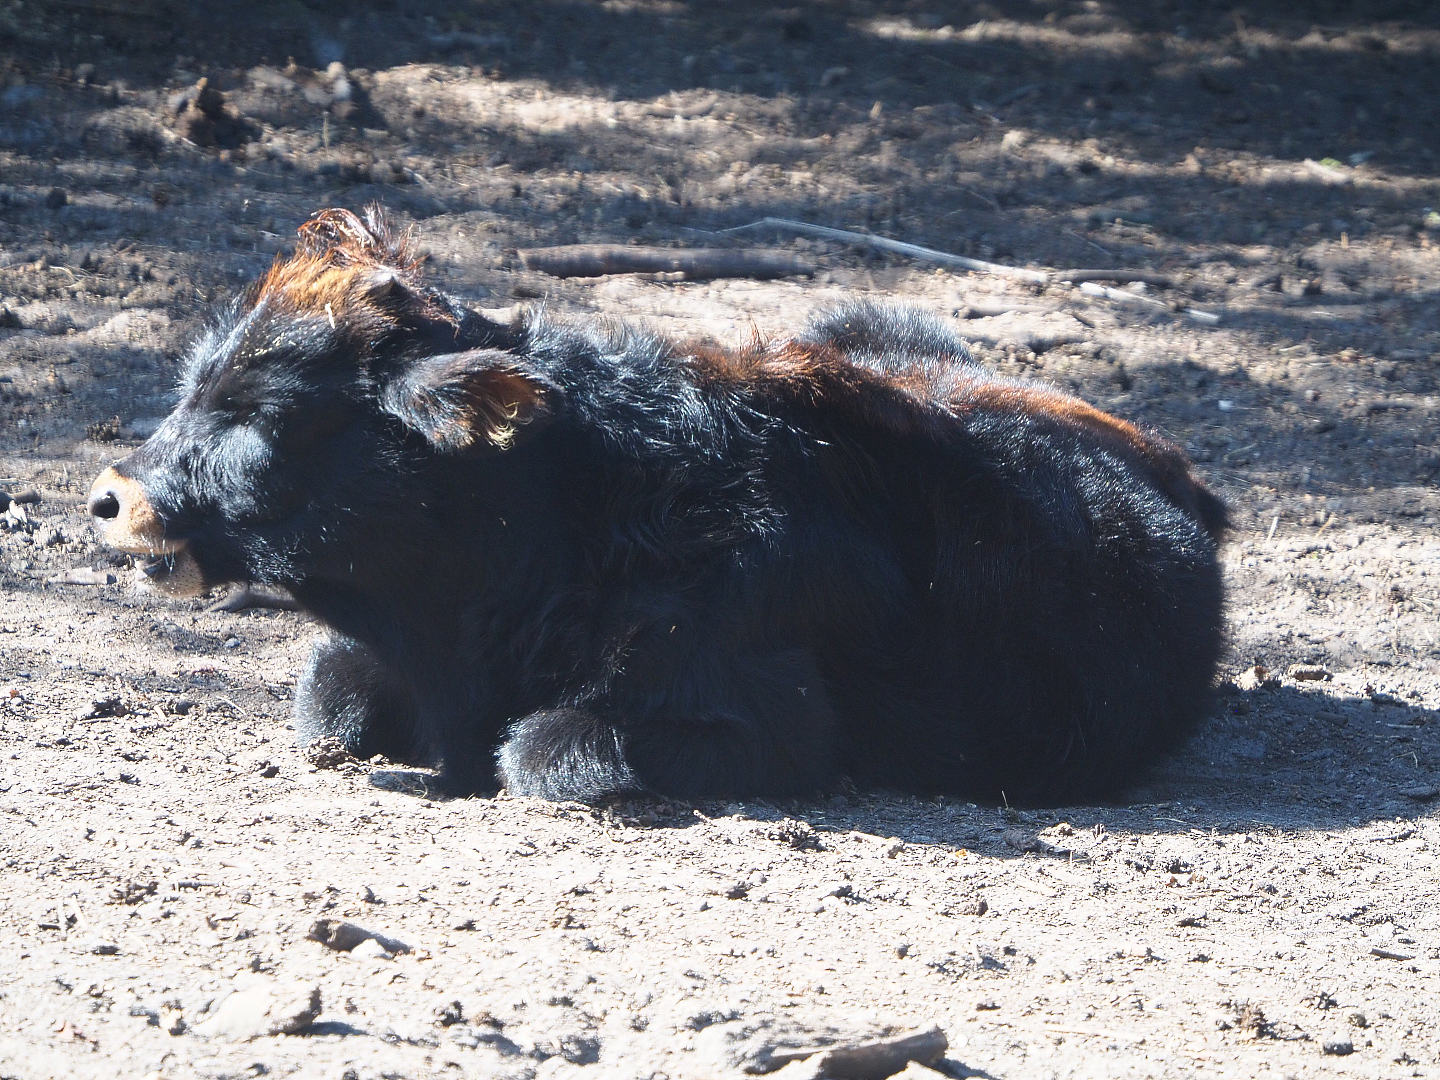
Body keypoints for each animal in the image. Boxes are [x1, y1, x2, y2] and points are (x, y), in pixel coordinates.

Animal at [88, 206, 1226, 804]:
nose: (109, 497)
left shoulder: (762, 725)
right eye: (192, 381)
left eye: (264, 416)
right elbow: (331, 696)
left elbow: (541, 752)